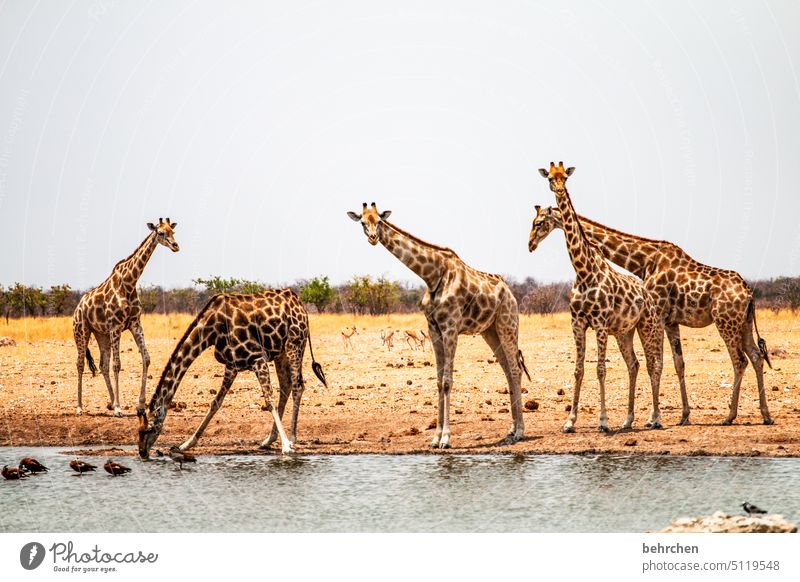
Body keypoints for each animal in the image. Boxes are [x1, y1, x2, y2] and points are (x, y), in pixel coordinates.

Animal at [72, 217, 179, 418]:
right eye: (161, 232)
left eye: (173, 231)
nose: (176, 246)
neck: (129, 282)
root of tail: (77, 308)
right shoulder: (116, 326)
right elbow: (117, 364)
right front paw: (119, 408)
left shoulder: (135, 324)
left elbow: (146, 358)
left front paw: (140, 405)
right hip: (82, 331)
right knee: (81, 364)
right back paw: (80, 407)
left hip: (101, 334)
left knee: (102, 365)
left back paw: (111, 402)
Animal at [136, 290, 326, 458]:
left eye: (148, 429)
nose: (142, 452)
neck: (211, 330)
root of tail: (300, 305)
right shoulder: (232, 365)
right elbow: (215, 403)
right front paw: (186, 444)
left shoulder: (257, 358)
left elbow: (268, 400)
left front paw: (286, 446)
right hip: (280, 352)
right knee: (286, 385)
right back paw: (269, 440)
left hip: (295, 344)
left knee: (297, 386)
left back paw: (292, 438)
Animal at [346, 203, 528, 450]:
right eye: (363, 222)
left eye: (380, 221)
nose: (373, 237)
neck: (432, 276)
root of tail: (510, 292)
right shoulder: (433, 329)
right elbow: (438, 381)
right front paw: (435, 437)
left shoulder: (450, 328)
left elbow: (447, 381)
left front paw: (446, 438)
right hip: (489, 331)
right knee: (508, 371)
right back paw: (511, 429)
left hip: (507, 324)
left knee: (516, 369)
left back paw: (520, 431)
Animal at [528, 203, 772, 426]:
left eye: (539, 223)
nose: (530, 245)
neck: (644, 261)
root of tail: (749, 293)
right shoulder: (671, 321)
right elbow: (678, 364)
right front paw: (684, 416)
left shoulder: (659, 315)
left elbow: (657, 363)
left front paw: (652, 418)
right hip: (744, 323)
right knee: (756, 356)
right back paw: (765, 415)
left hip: (726, 322)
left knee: (739, 360)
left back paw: (729, 416)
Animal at [536, 163, 668, 434]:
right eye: (549, 178)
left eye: (564, 177)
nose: (559, 189)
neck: (584, 271)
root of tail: (649, 296)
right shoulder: (577, 323)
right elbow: (578, 370)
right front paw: (569, 422)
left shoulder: (599, 323)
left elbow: (600, 369)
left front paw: (604, 421)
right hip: (624, 332)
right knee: (634, 364)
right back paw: (628, 420)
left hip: (647, 325)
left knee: (653, 364)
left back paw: (655, 418)